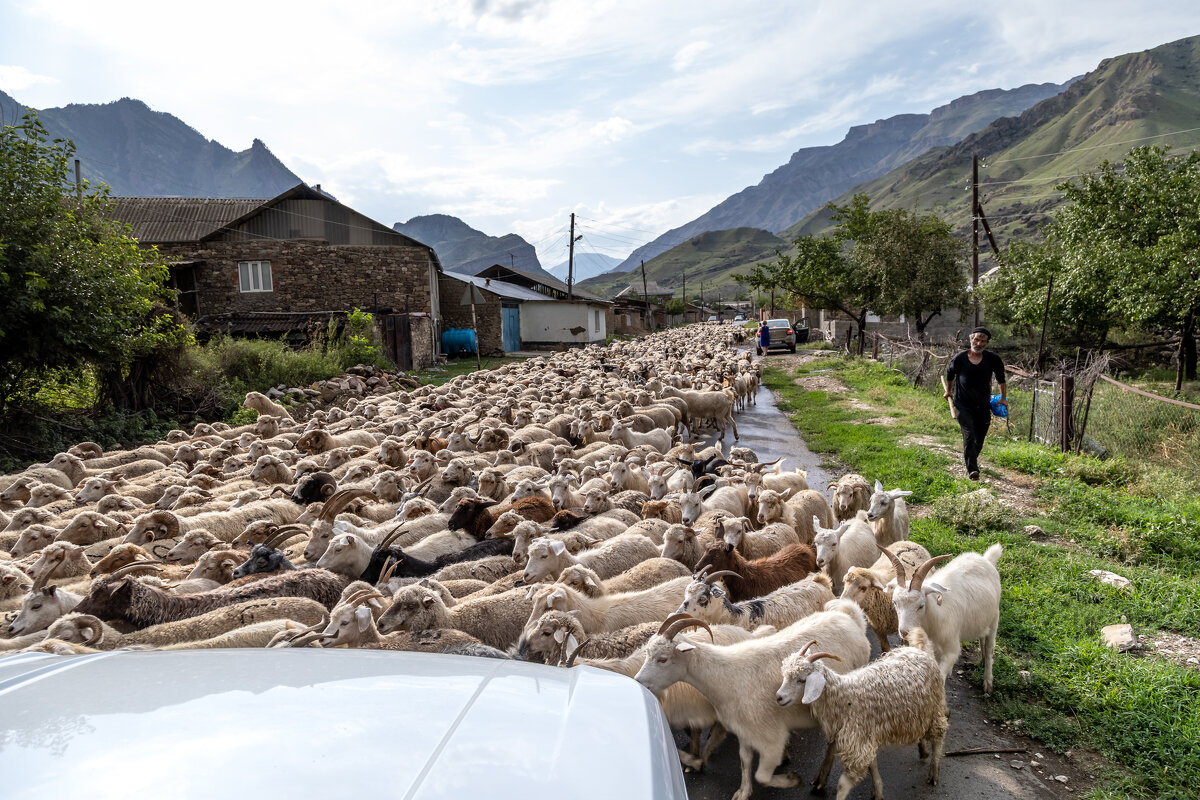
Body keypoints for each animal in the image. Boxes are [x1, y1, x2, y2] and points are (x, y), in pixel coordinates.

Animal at [633, 604, 868, 800]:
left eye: (662, 659)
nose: (638, 681)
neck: (725, 677)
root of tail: (848, 617)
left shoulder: (771, 738)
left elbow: (762, 776)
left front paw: (791, 780)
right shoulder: (743, 729)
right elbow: (744, 761)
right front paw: (743, 792)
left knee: (834, 743)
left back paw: (820, 779)